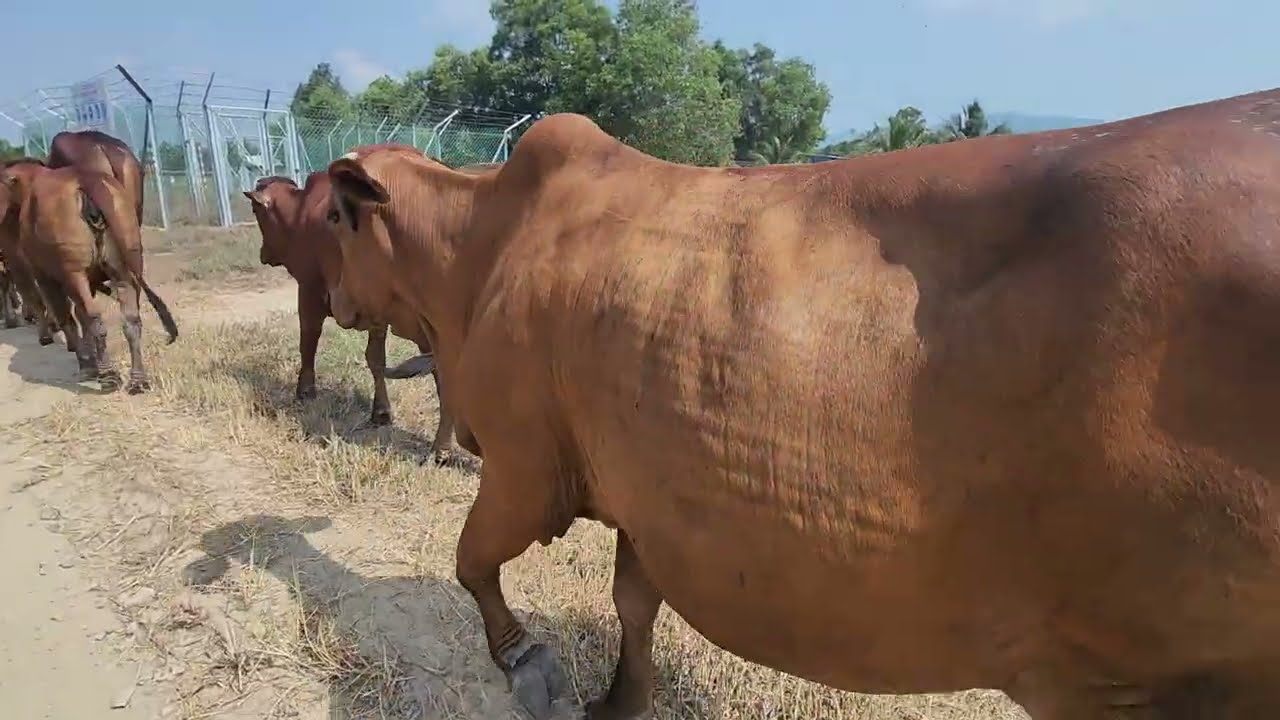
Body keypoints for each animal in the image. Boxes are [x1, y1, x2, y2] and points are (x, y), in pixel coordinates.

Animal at [2, 163, 178, 392]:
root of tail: (88, 180)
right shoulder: (91, 280)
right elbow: (81, 316)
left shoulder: (46, 276)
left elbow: (68, 317)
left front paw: (87, 365)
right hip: (123, 267)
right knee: (130, 320)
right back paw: (137, 380)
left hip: (73, 273)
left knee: (94, 318)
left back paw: (109, 375)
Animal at [321, 90, 1280, 720]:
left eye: (333, 217)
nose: (329, 299)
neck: (479, 255)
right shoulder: (646, 492)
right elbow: (635, 603)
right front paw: (620, 702)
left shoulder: (525, 464)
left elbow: (472, 562)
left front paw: (530, 667)